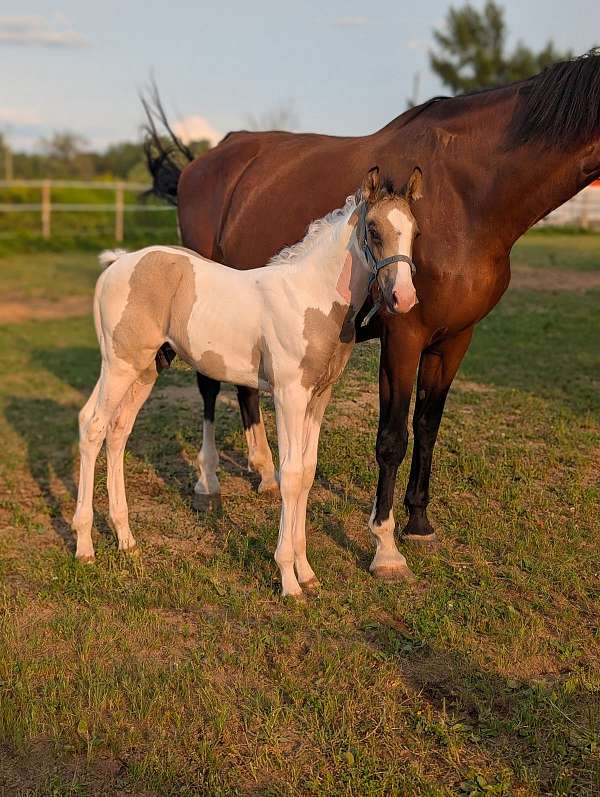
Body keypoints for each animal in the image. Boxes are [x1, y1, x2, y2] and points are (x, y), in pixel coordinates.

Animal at [72, 167, 421, 596]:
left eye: (415, 231)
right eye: (373, 229)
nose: (403, 297)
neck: (312, 297)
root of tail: (117, 264)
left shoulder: (319, 397)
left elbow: (307, 473)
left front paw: (307, 573)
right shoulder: (289, 395)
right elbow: (290, 475)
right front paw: (289, 581)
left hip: (147, 369)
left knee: (118, 431)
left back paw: (126, 539)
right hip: (119, 364)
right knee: (93, 425)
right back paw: (84, 546)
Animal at [145, 51, 600, 581]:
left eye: (418, 231)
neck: (469, 195)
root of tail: (211, 157)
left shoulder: (455, 339)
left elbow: (427, 426)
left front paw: (419, 523)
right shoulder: (403, 337)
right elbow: (392, 438)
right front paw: (385, 547)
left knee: (243, 388)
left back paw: (263, 471)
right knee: (208, 387)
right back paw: (209, 483)